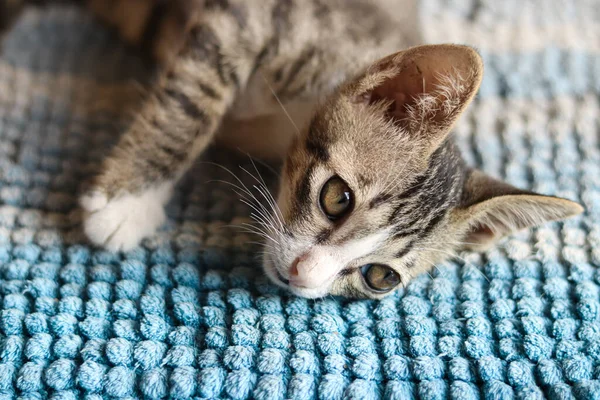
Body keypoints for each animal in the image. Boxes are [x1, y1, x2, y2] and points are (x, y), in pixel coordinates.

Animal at [0, 0, 580, 298]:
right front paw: (127, 198)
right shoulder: (249, 16)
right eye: (336, 198)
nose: (305, 277)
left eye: (380, 276)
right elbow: (193, 97)